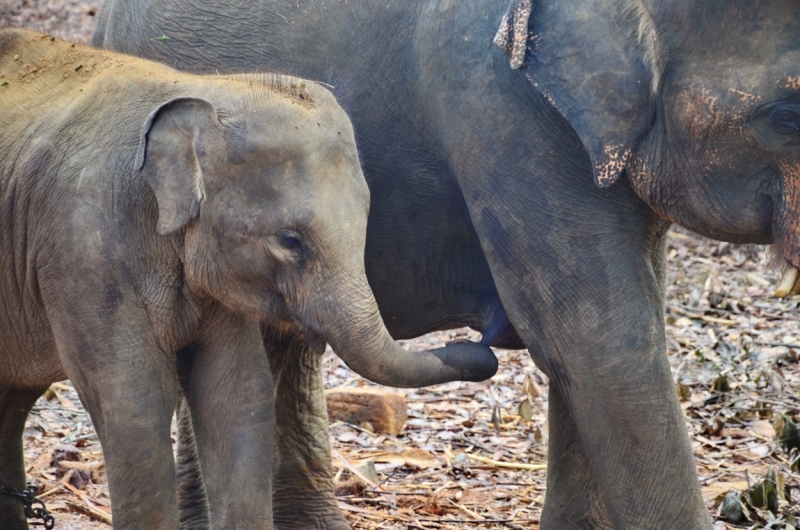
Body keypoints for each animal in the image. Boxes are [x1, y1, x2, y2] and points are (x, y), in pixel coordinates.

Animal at [0, 29, 496, 528]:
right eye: (290, 240)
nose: (482, 344)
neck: (203, 87)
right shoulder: (83, 250)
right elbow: (134, 408)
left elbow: (237, 397)